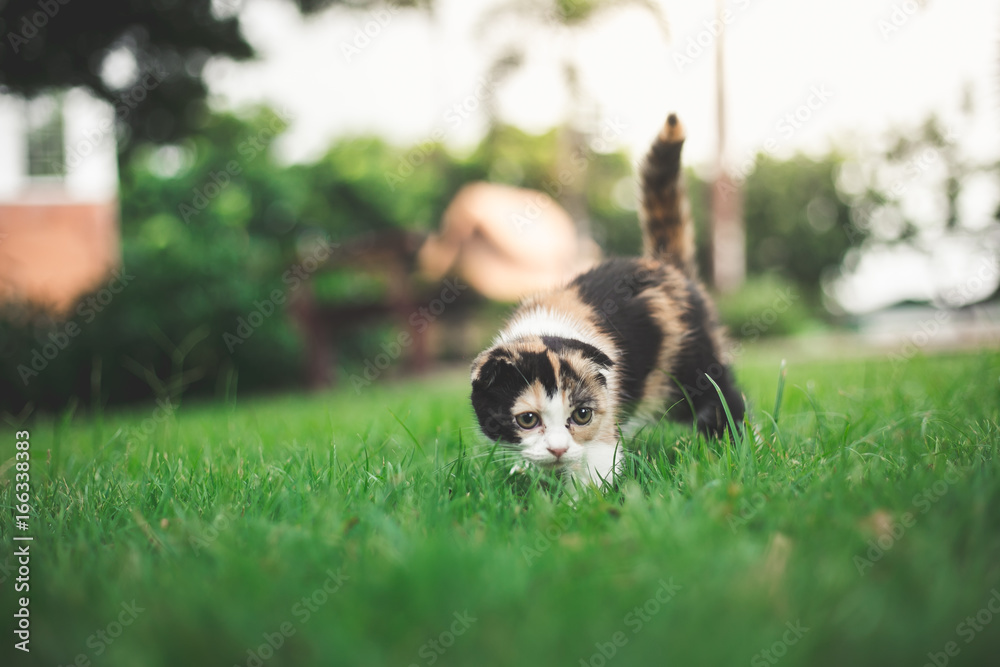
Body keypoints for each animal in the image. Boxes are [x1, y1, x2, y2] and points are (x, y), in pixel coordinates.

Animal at [468, 115, 744, 488]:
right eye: (527, 420)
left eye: (582, 415)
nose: (557, 449)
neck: (546, 327)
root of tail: (665, 266)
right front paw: (528, 473)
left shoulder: (605, 408)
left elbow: (599, 465)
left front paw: (579, 499)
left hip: (694, 362)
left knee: (720, 400)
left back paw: (741, 450)